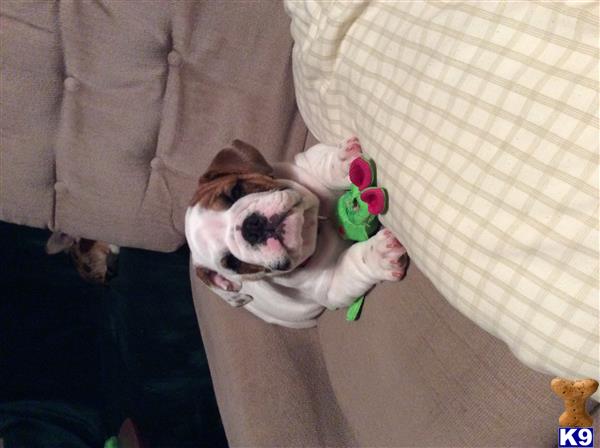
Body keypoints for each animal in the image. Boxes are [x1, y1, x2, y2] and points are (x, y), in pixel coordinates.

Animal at [185, 138, 406, 328]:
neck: (314, 227)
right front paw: (379, 254)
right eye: (232, 263)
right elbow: (351, 264)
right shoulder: (331, 288)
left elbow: (317, 162)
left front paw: (343, 163)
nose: (252, 227)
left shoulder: (300, 165)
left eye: (236, 192)